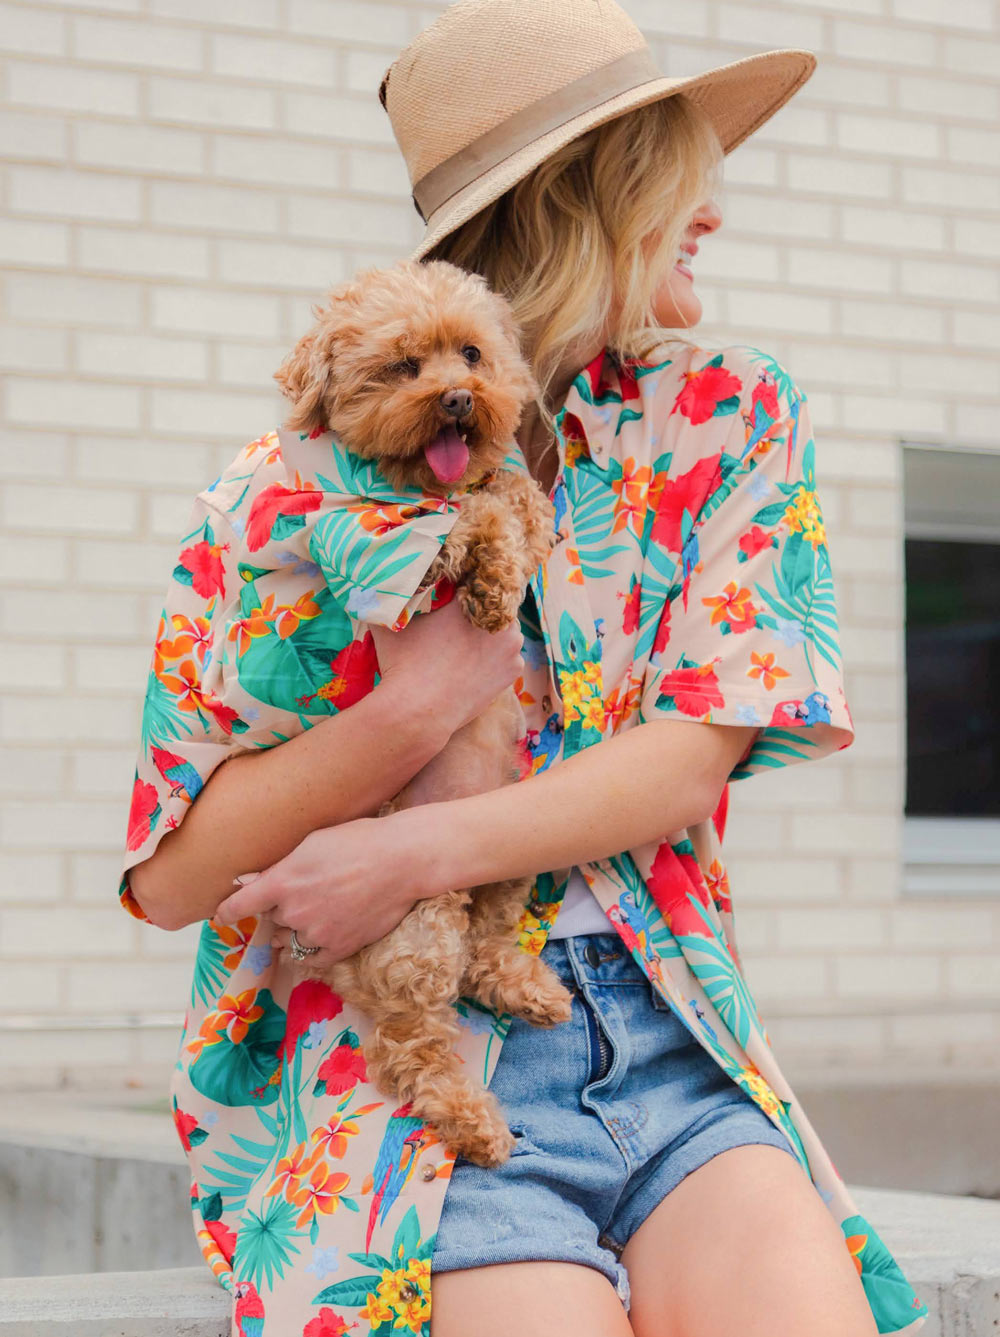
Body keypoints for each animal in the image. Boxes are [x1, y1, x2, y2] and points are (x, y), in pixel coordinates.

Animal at [271, 258, 569, 1160]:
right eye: (404, 367)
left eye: (470, 354)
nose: (459, 400)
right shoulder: (380, 543)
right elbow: (472, 516)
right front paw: (490, 583)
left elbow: (515, 497)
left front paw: (511, 544)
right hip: (415, 925)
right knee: (410, 1042)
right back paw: (473, 1122)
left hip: (505, 850)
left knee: (487, 947)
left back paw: (528, 989)